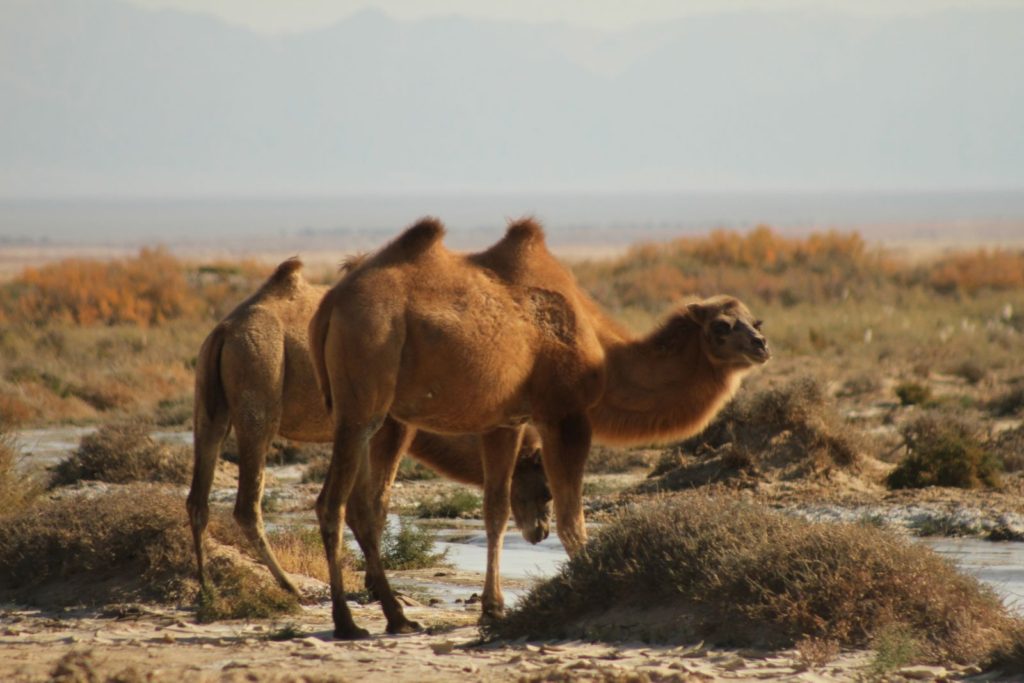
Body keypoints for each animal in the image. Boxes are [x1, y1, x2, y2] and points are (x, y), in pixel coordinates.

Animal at [183, 258, 552, 618]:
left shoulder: (363, 431)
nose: (542, 530)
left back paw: (206, 589)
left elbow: (362, 501)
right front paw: (385, 593)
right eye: (546, 489)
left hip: (209, 402)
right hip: (260, 380)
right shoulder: (393, 426)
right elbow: (378, 502)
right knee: (247, 503)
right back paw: (290, 587)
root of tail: (225, 331)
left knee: (198, 497)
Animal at [307, 219, 770, 643]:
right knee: (335, 502)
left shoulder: (504, 420)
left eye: (755, 321)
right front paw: (588, 584)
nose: (761, 345)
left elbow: (496, 509)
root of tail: (330, 304)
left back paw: (396, 616)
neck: (604, 355)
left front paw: (493, 608)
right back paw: (349, 623)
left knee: (367, 505)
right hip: (364, 394)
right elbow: (572, 516)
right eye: (721, 327)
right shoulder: (565, 414)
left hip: (385, 416)